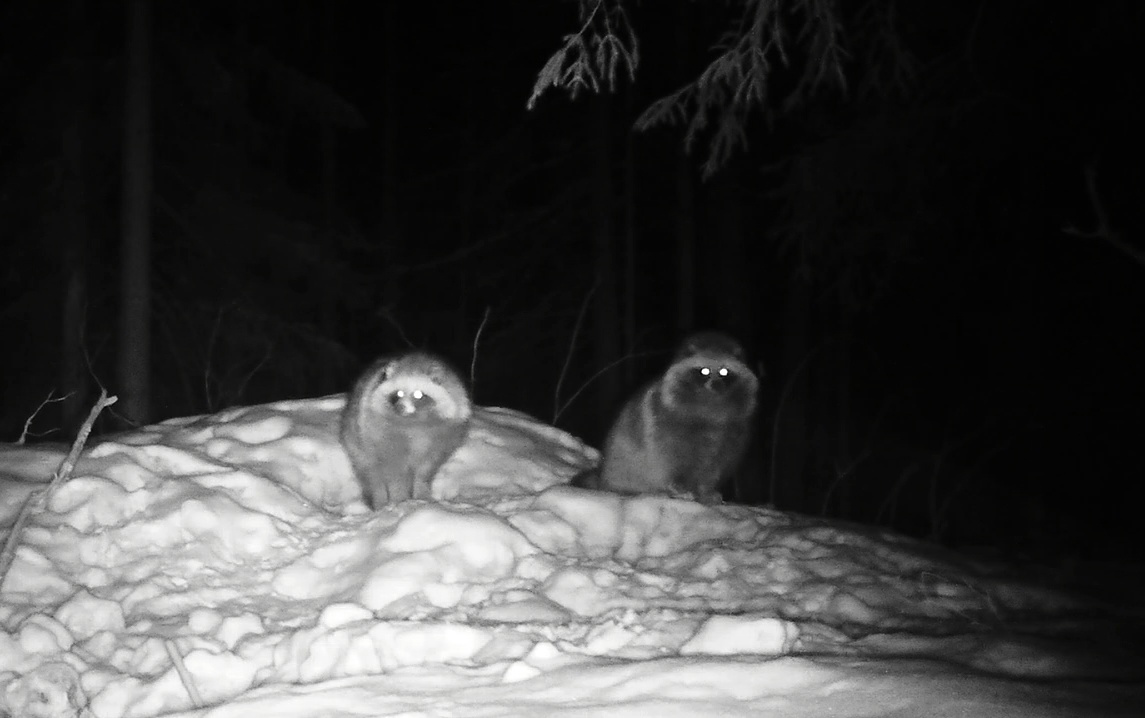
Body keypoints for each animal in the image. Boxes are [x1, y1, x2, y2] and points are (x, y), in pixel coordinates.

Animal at [336, 350, 471, 508]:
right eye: (398, 393)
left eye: (418, 394)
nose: (401, 407)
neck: (414, 422)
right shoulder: (383, 437)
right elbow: (395, 475)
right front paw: (400, 500)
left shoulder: (444, 437)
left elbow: (426, 470)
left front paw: (422, 496)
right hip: (359, 444)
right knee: (373, 476)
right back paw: (380, 502)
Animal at [577, 332, 755, 506]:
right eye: (704, 371)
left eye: (725, 372)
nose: (716, 385)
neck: (711, 405)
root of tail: (603, 477)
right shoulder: (667, 427)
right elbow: (670, 460)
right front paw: (680, 488)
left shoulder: (729, 438)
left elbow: (713, 469)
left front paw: (706, 492)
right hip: (623, 464)